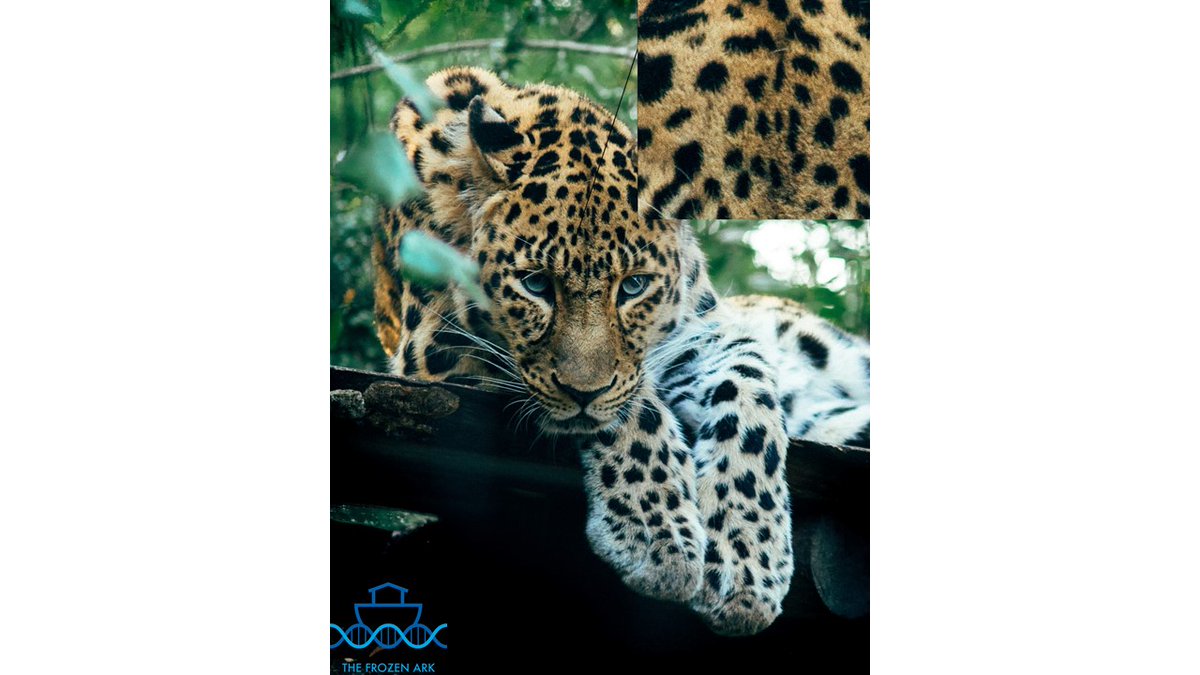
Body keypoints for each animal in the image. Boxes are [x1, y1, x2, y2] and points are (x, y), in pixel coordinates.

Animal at [371, 66, 870, 636]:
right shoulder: (436, 349)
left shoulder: (699, 333)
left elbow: (749, 395)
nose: (582, 392)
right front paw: (661, 542)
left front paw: (747, 559)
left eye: (633, 286)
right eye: (535, 284)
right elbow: (633, 407)